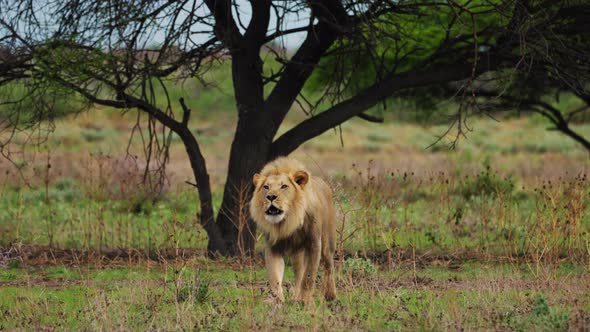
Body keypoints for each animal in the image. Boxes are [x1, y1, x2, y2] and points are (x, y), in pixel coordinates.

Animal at [249, 157, 338, 304]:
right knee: (299, 272)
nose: (270, 196)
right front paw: (277, 301)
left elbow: (309, 276)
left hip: (327, 242)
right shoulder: (273, 248)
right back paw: (296, 296)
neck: (288, 220)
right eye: (266, 187)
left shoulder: (314, 244)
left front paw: (305, 301)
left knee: (329, 266)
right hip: (297, 254)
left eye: (284, 186)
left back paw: (330, 295)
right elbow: (275, 276)